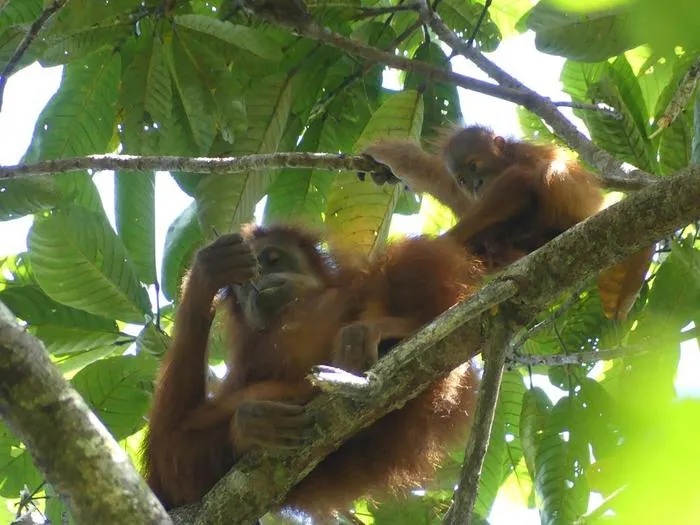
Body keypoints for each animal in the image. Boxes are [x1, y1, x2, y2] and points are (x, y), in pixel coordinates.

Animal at [141, 224, 481, 519]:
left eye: (273, 259)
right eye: (249, 277)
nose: (262, 280)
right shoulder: (243, 371)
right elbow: (176, 465)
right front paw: (209, 269)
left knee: (405, 266)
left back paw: (384, 333)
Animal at [362, 125, 653, 320]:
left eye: (474, 165)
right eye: (463, 179)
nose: (477, 185)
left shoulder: (521, 157)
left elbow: (520, 181)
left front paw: (437, 246)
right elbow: (453, 193)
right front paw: (394, 157)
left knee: (547, 174)